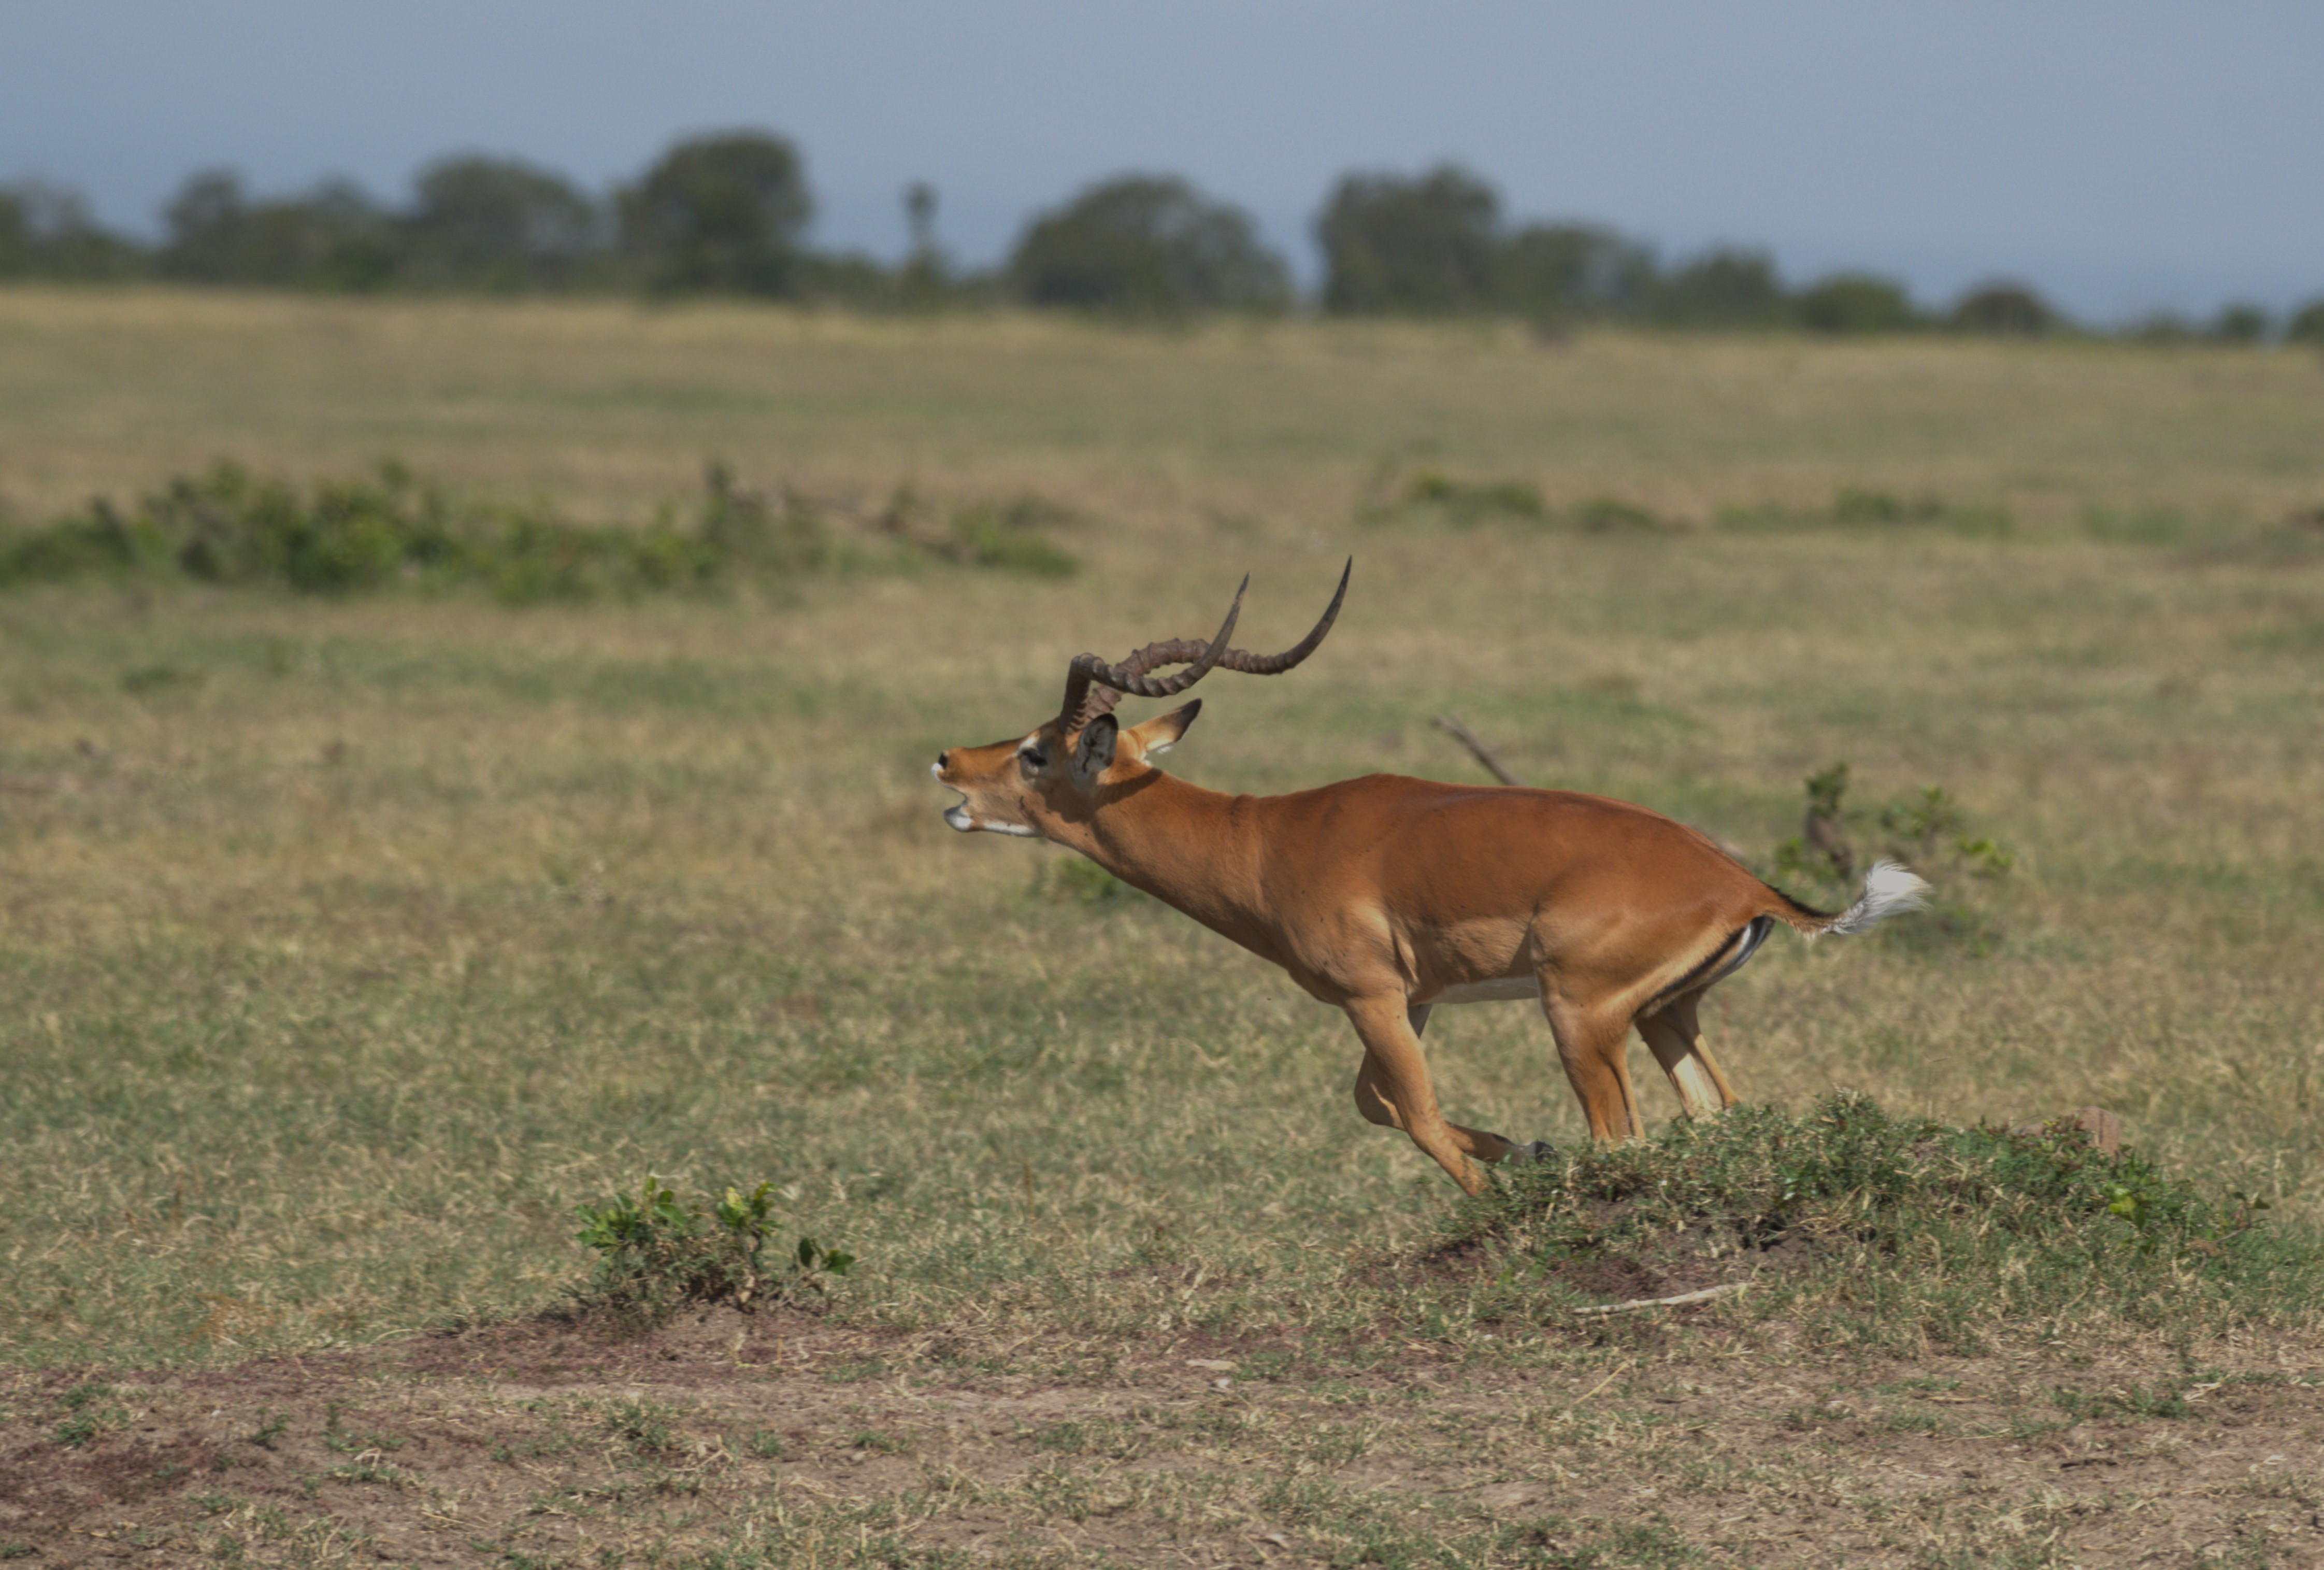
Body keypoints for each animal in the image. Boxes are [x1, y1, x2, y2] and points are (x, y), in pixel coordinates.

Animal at [932, 565, 1929, 1195]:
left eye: (1036, 751)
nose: (946, 760)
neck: (1266, 839)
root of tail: (1743, 886)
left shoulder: (1371, 995)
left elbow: (1410, 1113)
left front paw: (1496, 1203)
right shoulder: (1410, 999)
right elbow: (1376, 1104)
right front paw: (1524, 1150)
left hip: (1579, 1016)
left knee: (1623, 1136)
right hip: (1665, 1014)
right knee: (1714, 1112)